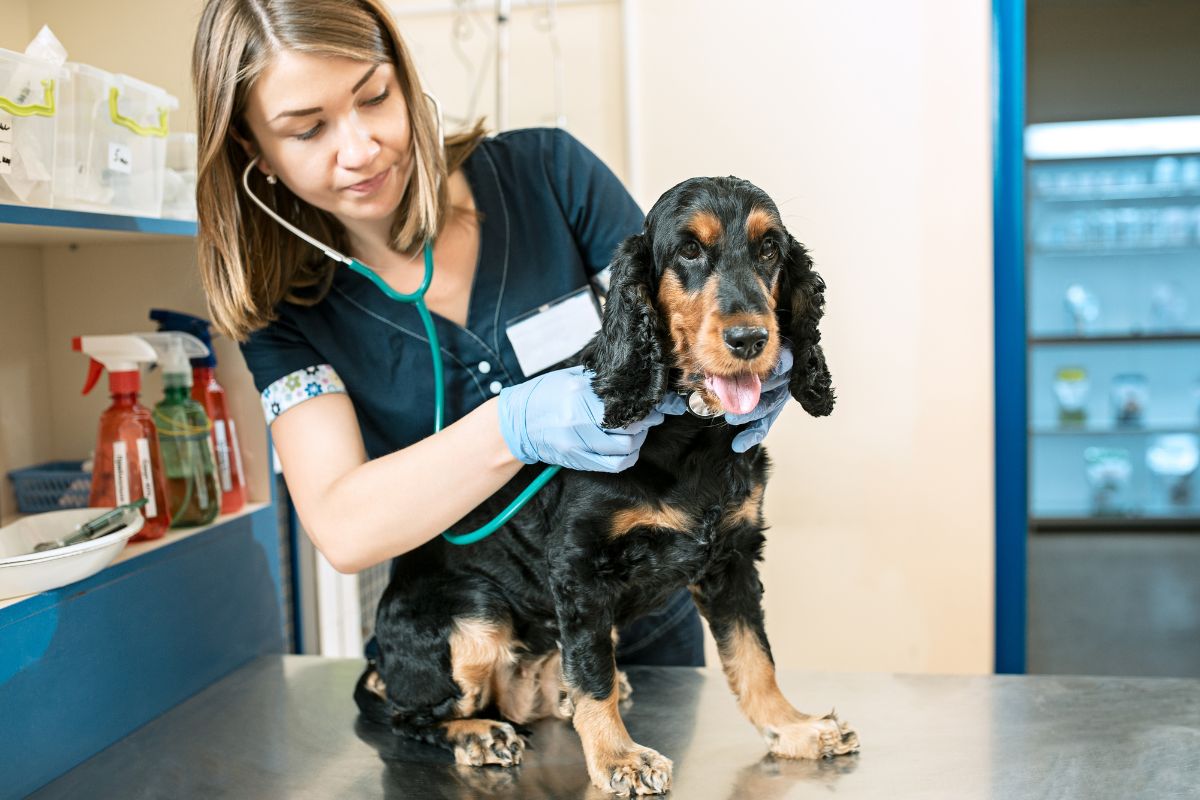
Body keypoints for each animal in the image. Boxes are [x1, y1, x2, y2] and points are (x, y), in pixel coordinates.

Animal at [350, 175, 859, 796]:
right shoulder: (578, 566)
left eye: (769, 249)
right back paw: (478, 733)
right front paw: (619, 758)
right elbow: (595, 674)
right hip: (474, 615)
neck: (690, 429)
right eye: (689, 251)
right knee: (411, 715)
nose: (749, 339)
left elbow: (754, 656)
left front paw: (794, 729)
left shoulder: (733, 556)